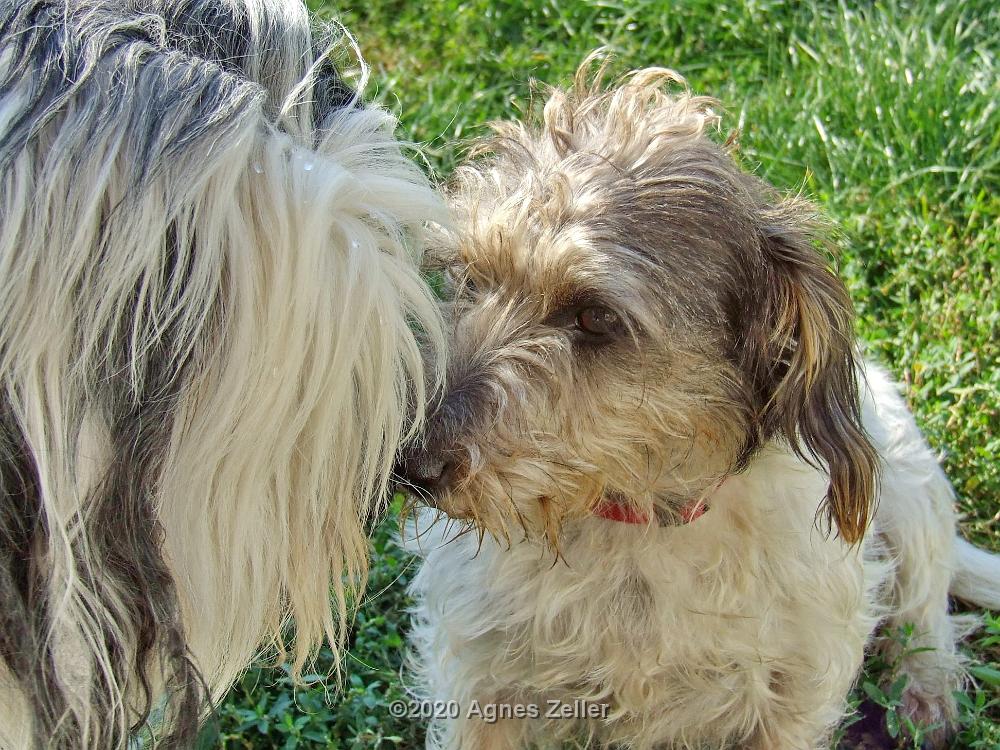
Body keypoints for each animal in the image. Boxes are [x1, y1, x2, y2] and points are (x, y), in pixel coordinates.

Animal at [398, 58, 1000, 750]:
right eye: (470, 277)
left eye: (595, 317)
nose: (408, 467)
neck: (638, 521)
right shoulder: (478, 680)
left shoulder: (797, 689)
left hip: (910, 486)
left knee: (926, 610)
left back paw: (924, 693)